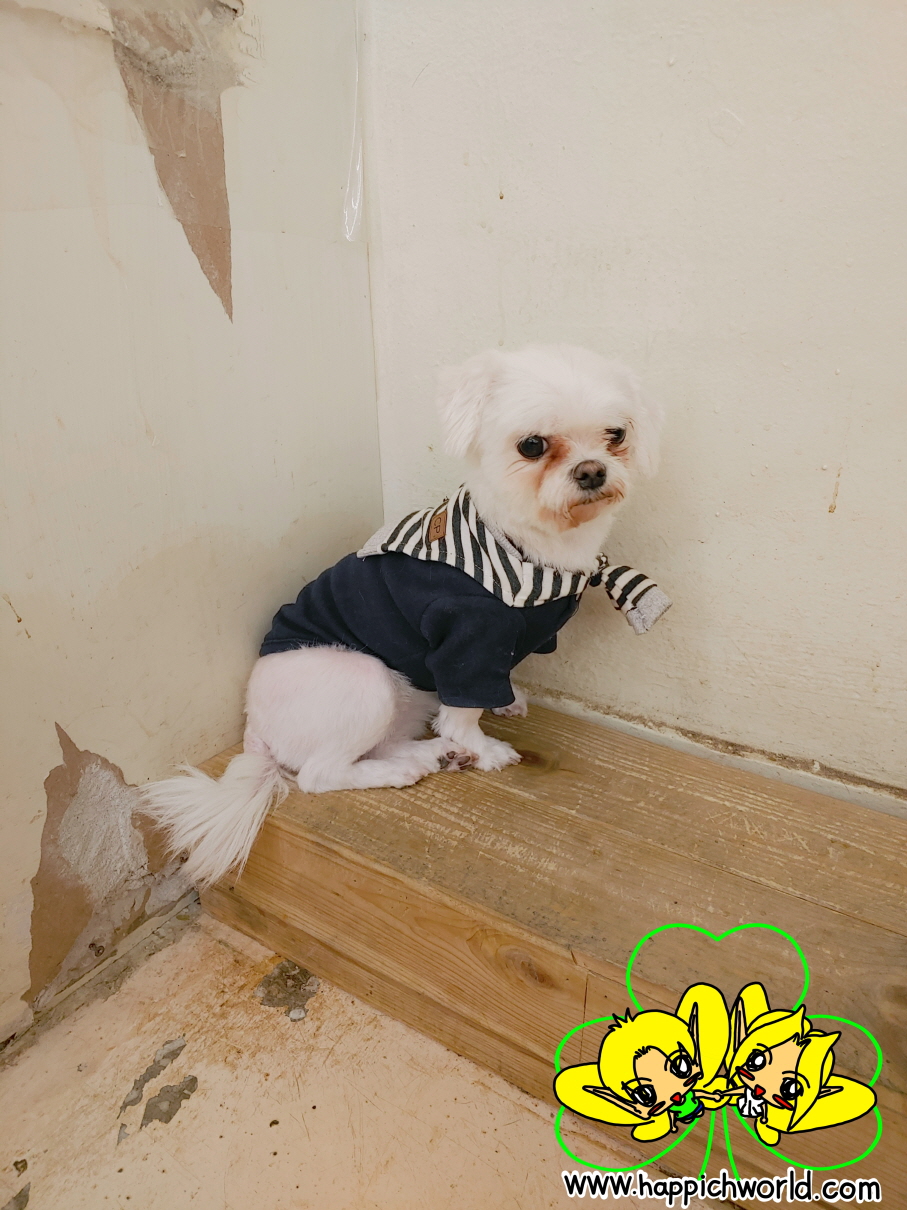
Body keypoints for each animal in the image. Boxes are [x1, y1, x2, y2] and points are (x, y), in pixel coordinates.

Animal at [141, 344, 664, 888]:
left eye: (616, 435)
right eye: (533, 445)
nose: (592, 470)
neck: (532, 550)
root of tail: (254, 726)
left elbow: (498, 683)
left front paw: (507, 701)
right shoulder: (469, 643)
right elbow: (463, 712)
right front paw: (485, 748)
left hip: (404, 696)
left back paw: (430, 754)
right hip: (365, 679)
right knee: (320, 773)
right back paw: (407, 767)